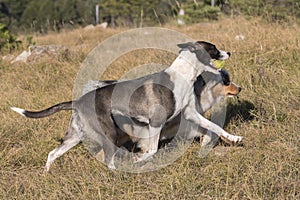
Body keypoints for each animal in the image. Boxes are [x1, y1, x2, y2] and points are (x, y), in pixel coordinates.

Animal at [11, 40, 243, 170]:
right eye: (213, 48)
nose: (229, 52)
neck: (183, 76)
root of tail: (78, 101)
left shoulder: (191, 115)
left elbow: (215, 127)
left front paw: (234, 138)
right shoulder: (155, 123)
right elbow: (151, 150)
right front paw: (138, 161)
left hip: (75, 136)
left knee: (52, 154)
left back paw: (46, 174)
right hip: (108, 133)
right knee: (109, 160)